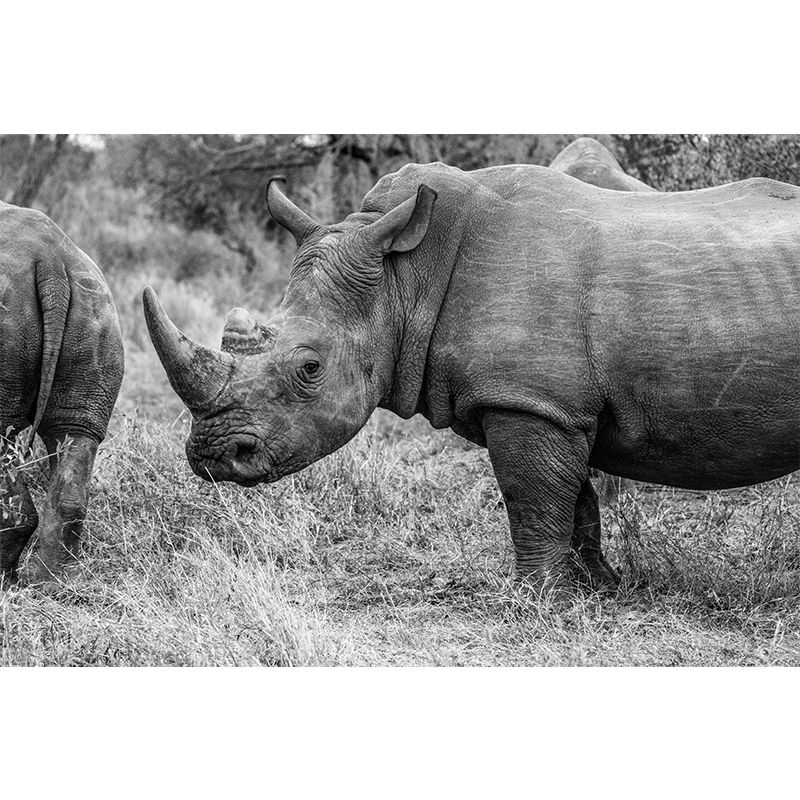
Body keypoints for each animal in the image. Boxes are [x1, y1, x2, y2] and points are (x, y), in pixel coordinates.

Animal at [143, 163, 800, 592]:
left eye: (309, 369)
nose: (212, 457)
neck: (403, 277)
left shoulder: (528, 400)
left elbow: (532, 498)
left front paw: (539, 599)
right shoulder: (552, 403)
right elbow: (576, 498)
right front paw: (600, 588)